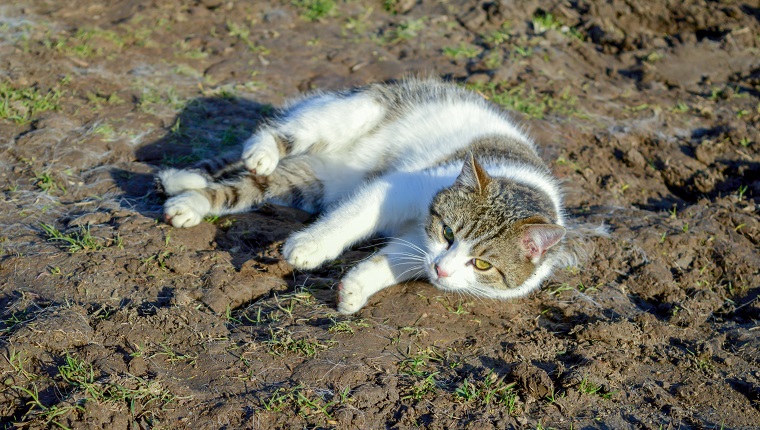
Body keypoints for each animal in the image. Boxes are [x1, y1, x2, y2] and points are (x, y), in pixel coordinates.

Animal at [157, 79, 568, 314]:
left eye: (482, 265)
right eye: (449, 233)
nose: (442, 270)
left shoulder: (419, 241)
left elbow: (393, 261)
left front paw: (355, 289)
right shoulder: (398, 188)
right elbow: (350, 219)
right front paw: (309, 247)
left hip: (313, 179)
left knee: (251, 184)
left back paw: (187, 197)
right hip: (349, 115)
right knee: (274, 135)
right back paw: (250, 155)